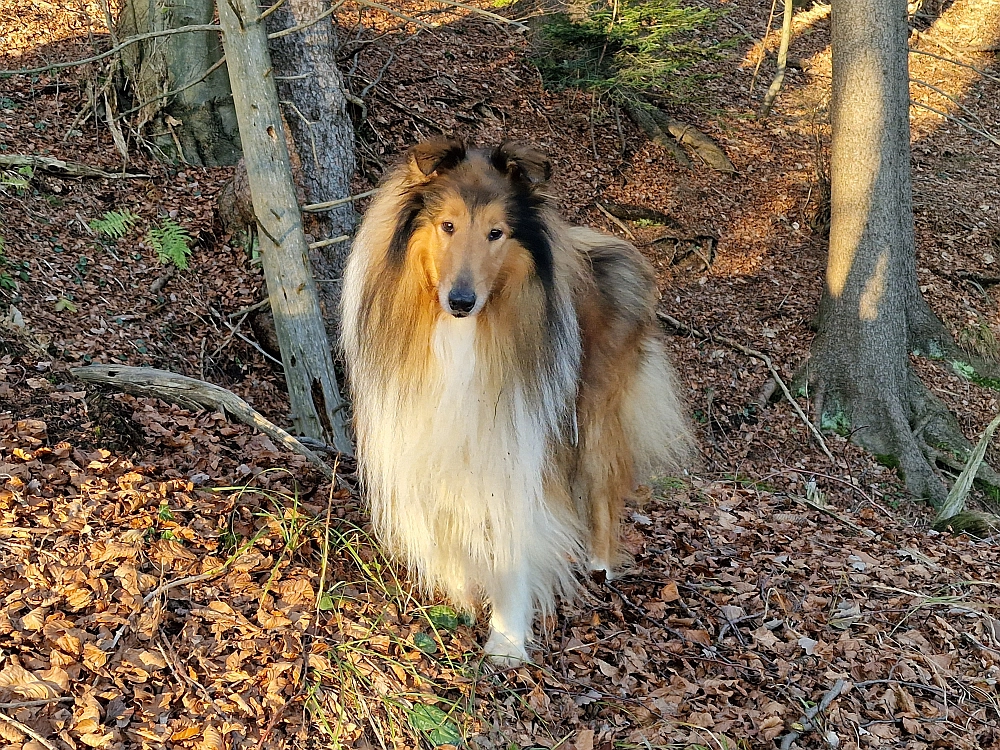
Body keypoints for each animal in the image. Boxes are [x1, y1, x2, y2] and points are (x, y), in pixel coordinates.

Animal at [340, 140, 692, 664]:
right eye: (447, 225)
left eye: (496, 233)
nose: (461, 300)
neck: (461, 338)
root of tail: (604, 248)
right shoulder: (424, 435)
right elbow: (446, 523)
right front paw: (461, 596)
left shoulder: (514, 442)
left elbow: (512, 542)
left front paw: (506, 640)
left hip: (593, 415)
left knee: (604, 489)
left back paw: (601, 565)